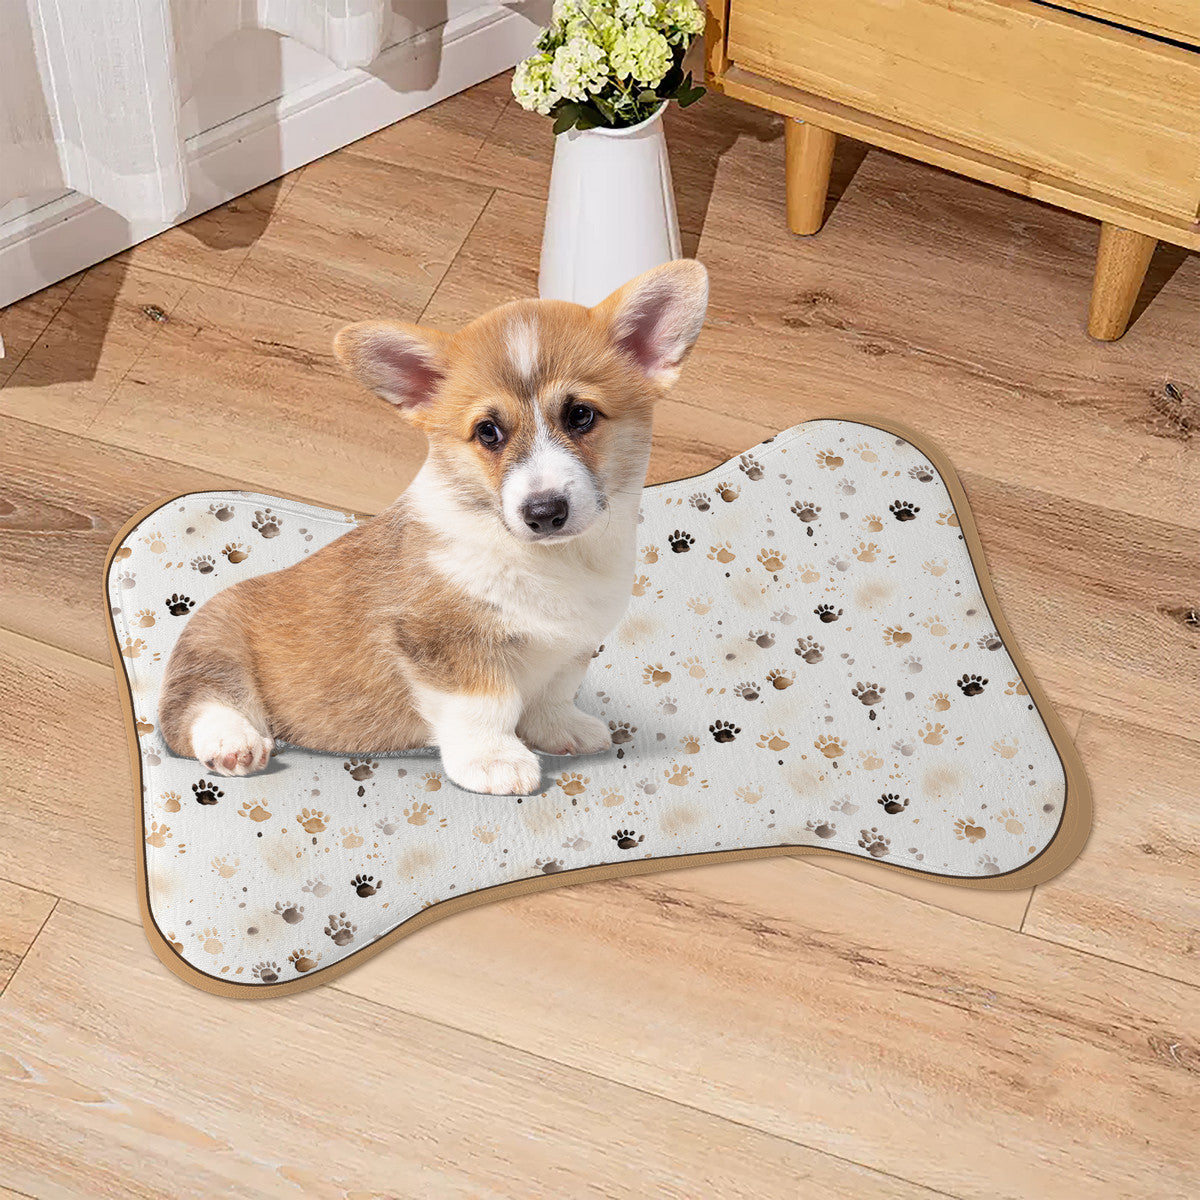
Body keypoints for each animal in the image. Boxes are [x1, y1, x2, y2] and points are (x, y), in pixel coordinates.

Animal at [154, 258, 705, 792]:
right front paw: (495, 762)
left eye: (581, 416)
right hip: (215, 641)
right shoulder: (446, 642)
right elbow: (486, 705)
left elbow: (552, 693)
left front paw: (559, 730)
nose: (544, 512)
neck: (551, 560)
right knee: (195, 707)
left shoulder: (570, 646)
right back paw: (234, 741)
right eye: (488, 431)